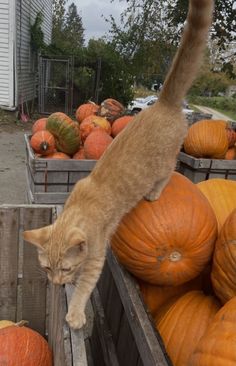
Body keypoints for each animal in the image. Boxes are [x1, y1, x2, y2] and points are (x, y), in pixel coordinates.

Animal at [23, 0, 213, 328]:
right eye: (48, 269)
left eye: (66, 269)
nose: (58, 283)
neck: (79, 208)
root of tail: (162, 103)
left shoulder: (96, 257)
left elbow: (85, 286)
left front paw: (75, 313)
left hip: (166, 161)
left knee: (168, 172)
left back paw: (154, 191)